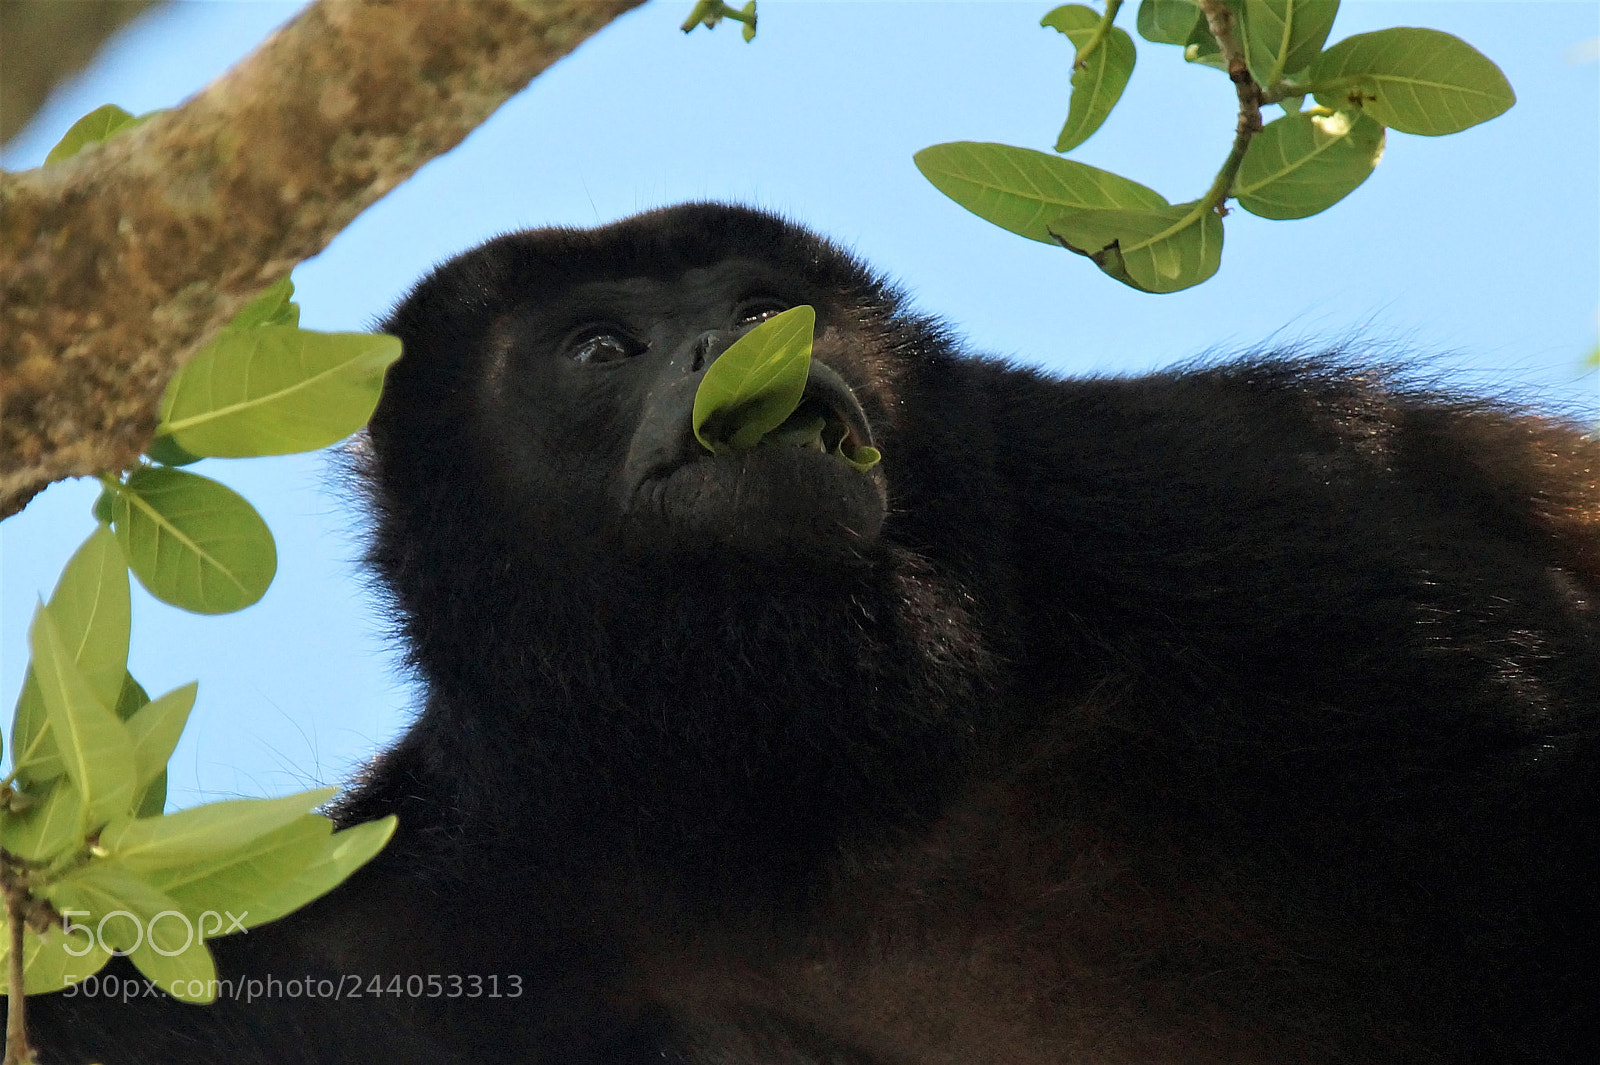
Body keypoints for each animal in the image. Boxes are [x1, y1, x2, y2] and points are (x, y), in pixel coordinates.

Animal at [26, 203, 1600, 1063]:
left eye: (765, 303)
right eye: (603, 348)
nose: (742, 345)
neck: (810, 795)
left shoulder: (1193, 500)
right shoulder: (358, 928)